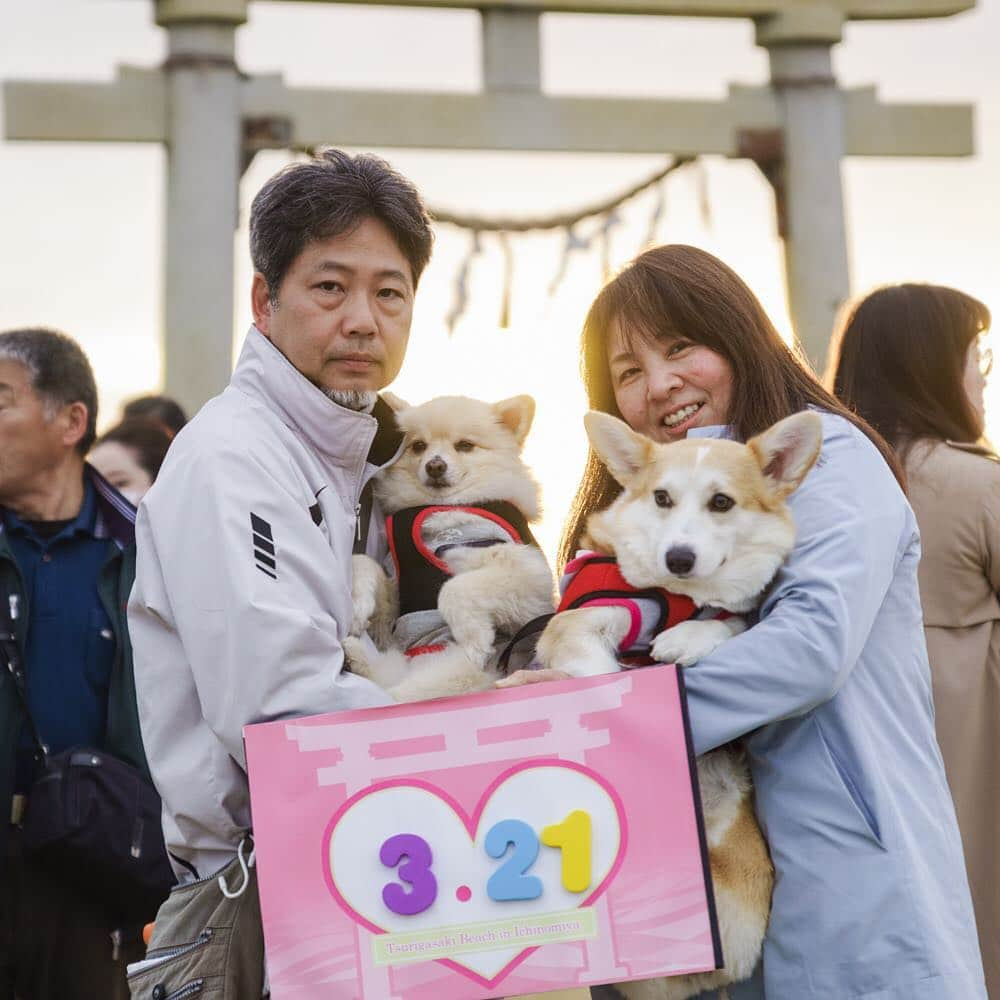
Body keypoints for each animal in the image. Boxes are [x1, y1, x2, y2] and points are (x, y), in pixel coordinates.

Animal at [340, 392, 552, 704]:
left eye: (464, 445)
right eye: (419, 446)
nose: (435, 465)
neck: (443, 506)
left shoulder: (528, 577)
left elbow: (453, 588)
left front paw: (475, 638)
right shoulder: (396, 587)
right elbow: (365, 563)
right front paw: (357, 605)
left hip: (459, 675)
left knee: (402, 695)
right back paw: (357, 657)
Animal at [536, 408, 824, 1000]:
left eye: (722, 502)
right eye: (662, 498)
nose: (679, 558)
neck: (677, 596)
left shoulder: (735, 614)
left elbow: (729, 623)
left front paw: (685, 640)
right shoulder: (579, 625)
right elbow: (601, 680)